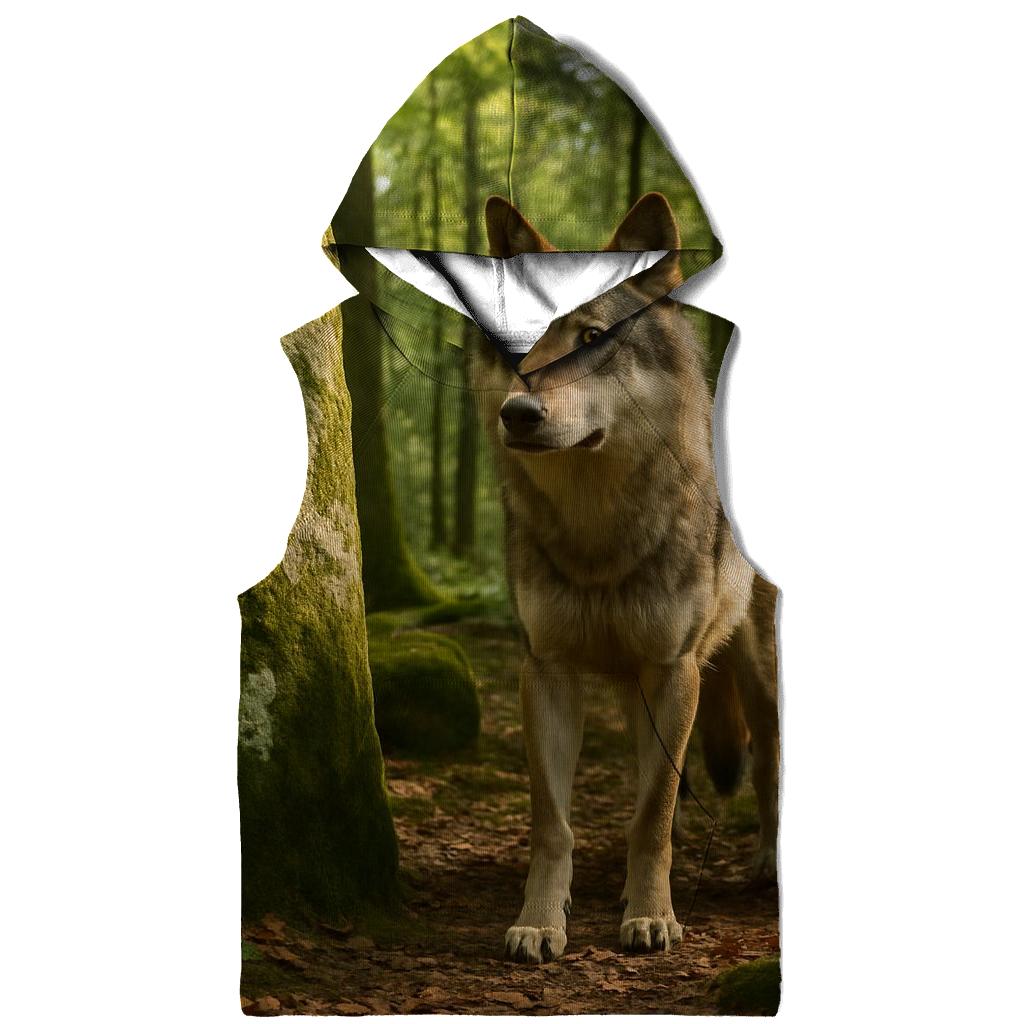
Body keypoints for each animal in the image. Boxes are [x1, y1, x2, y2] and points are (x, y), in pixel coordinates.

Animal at [466, 192, 779, 964]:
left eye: (591, 337)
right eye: (518, 344)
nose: (518, 413)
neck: (600, 535)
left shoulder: (674, 669)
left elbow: (653, 813)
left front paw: (651, 918)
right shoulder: (546, 668)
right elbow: (555, 820)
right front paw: (541, 922)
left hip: (755, 672)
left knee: (766, 763)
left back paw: (766, 863)